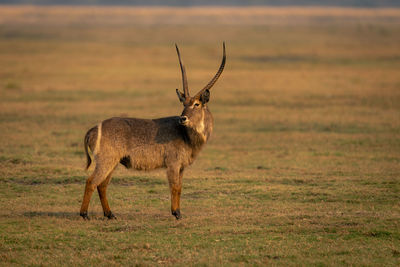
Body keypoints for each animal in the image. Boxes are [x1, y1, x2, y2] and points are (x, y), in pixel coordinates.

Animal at [79, 43, 227, 221]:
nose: (182, 118)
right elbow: (175, 187)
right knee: (91, 182)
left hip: (112, 162)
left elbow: (180, 187)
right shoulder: (173, 164)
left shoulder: (181, 167)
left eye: (196, 104)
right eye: (184, 103)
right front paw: (176, 213)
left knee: (102, 185)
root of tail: (93, 128)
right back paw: (84, 214)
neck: (186, 135)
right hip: (106, 161)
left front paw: (178, 212)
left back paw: (110, 214)